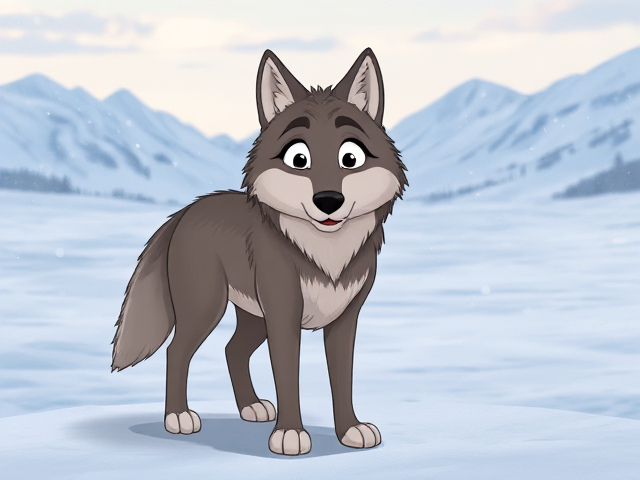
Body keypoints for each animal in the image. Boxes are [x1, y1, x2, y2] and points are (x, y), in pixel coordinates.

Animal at [111, 48, 408, 456]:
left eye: (350, 157)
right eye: (299, 158)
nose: (328, 201)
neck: (325, 256)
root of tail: (186, 211)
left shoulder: (345, 319)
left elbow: (342, 380)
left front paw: (350, 429)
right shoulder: (284, 316)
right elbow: (288, 378)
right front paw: (290, 434)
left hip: (253, 317)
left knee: (231, 350)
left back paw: (250, 406)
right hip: (208, 308)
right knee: (177, 352)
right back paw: (179, 417)